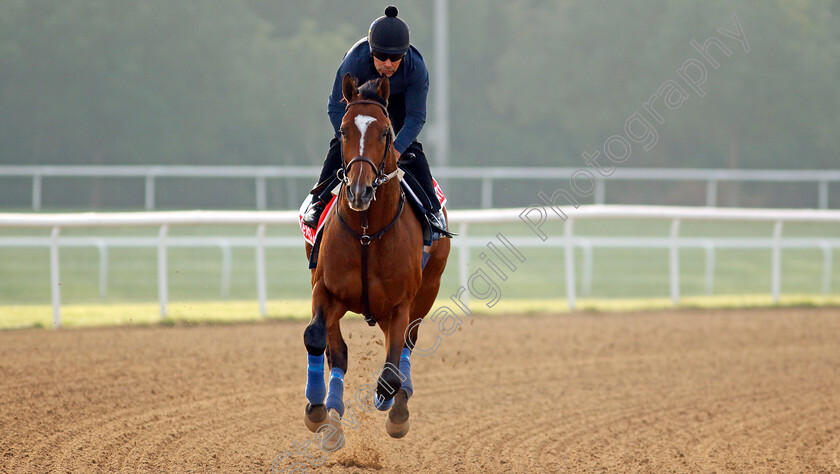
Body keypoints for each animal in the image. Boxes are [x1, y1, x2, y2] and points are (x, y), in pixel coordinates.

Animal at [300, 71, 446, 448]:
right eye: (343, 131)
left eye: (385, 132)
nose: (359, 190)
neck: (368, 232)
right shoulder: (325, 290)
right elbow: (316, 338)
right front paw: (317, 411)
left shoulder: (400, 304)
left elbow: (391, 373)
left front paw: (390, 403)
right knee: (337, 352)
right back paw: (333, 413)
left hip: (426, 292)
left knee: (406, 348)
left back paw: (398, 406)